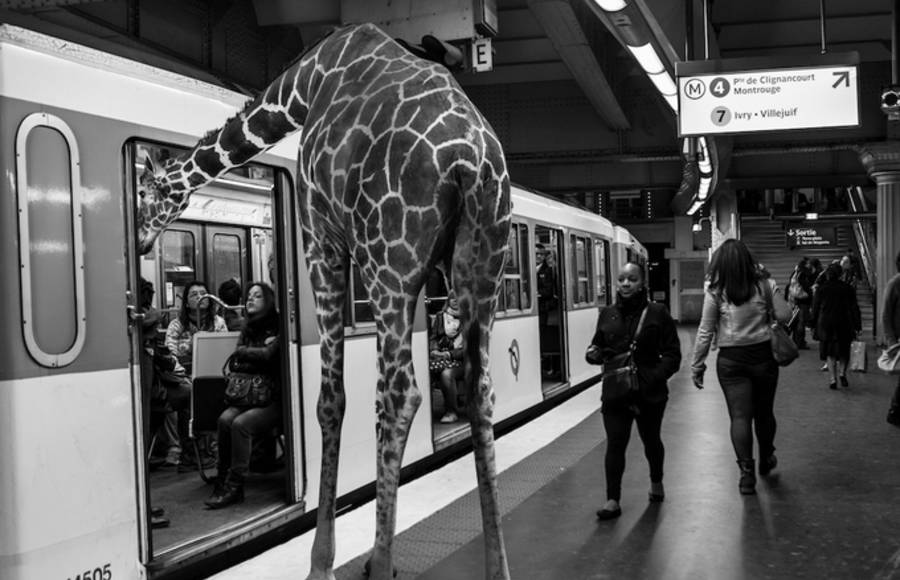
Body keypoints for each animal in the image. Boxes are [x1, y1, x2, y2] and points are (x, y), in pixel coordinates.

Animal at [134, 21, 512, 580]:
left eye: (146, 192)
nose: (139, 238)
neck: (300, 87)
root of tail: (473, 163)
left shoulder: (319, 237)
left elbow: (330, 400)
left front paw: (322, 562)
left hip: (390, 263)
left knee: (403, 394)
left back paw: (382, 563)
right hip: (479, 267)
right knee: (479, 392)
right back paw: (494, 566)